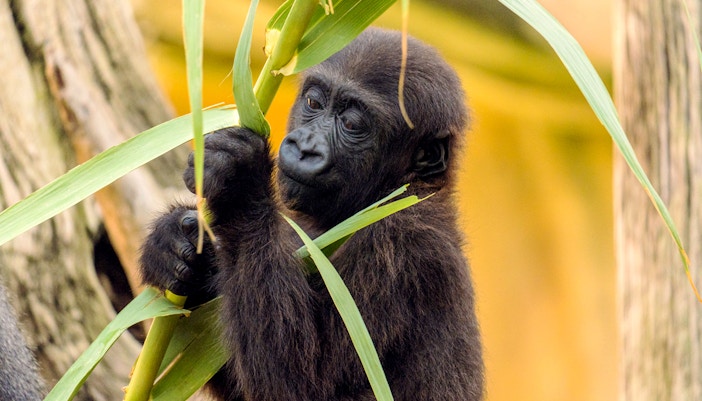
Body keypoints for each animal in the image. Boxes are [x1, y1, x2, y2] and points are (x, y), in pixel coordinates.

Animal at [140, 27, 484, 400]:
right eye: (314, 104)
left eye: (351, 123)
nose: (304, 147)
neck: (404, 188)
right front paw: (171, 244)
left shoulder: (404, 245)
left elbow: (299, 383)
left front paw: (240, 185)